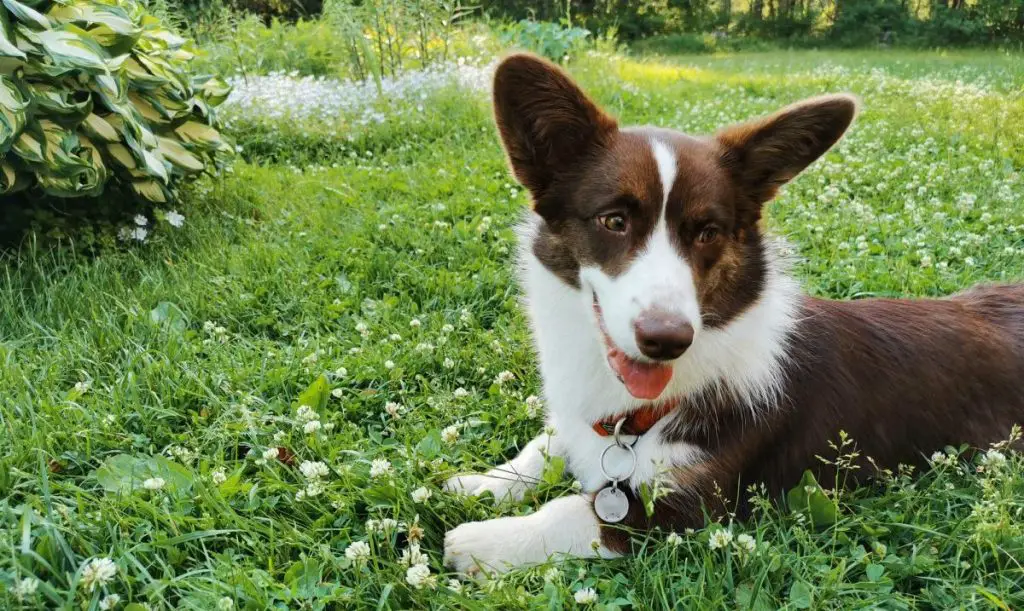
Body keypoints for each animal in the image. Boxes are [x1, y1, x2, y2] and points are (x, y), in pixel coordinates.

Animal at [442, 54, 1024, 573]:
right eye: (613, 221)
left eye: (707, 232)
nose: (667, 340)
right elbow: (546, 443)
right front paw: (480, 483)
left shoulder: (682, 505)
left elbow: (576, 511)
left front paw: (482, 541)